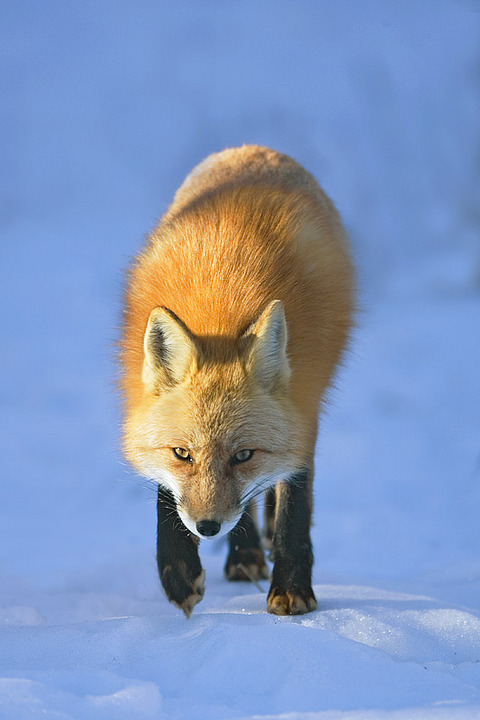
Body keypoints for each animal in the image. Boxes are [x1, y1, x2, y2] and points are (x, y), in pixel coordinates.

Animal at [121, 145, 354, 617]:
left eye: (244, 455)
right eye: (182, 453)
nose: (207, 527)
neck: (220, 319)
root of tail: (255, 150)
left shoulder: (304, 405)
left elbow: (294, 501)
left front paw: (292, 587)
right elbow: (166, 493)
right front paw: (177, 571)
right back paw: (244, 552)